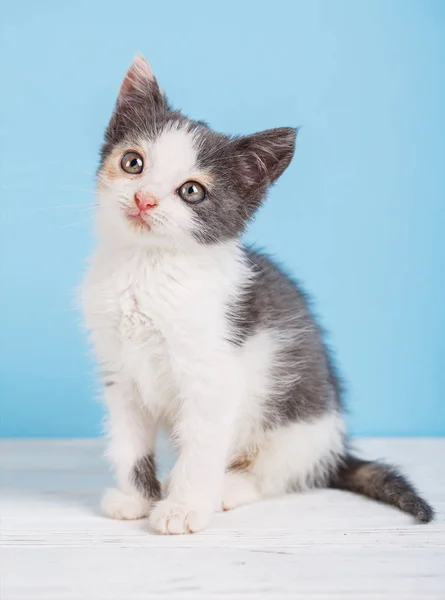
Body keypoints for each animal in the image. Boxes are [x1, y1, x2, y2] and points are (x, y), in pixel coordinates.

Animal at [81, 55, 432, 536]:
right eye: (133, 162)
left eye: (192, 191)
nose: (144, 199)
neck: (148, 268)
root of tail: (335, 447)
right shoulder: (119, 374)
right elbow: (129, 442)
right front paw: (136, 499)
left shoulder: (213, 376)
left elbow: (202, 446)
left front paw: (183, 508)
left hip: (294, 423)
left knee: (278, 474)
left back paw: (226, 488)